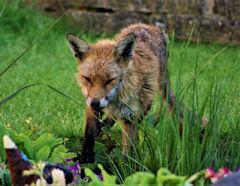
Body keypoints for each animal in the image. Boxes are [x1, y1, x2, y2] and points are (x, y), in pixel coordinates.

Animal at [66, 22, 202, 163]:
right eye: (87, 79)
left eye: (110, 80)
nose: (95, 103)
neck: (114, 100)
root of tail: (148, 25)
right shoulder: (91, 106)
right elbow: (88, 136)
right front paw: (85, 160)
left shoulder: (130, 116)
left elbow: (128, 150)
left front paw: (126, 167)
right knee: (108, 121)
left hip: (149, 99)